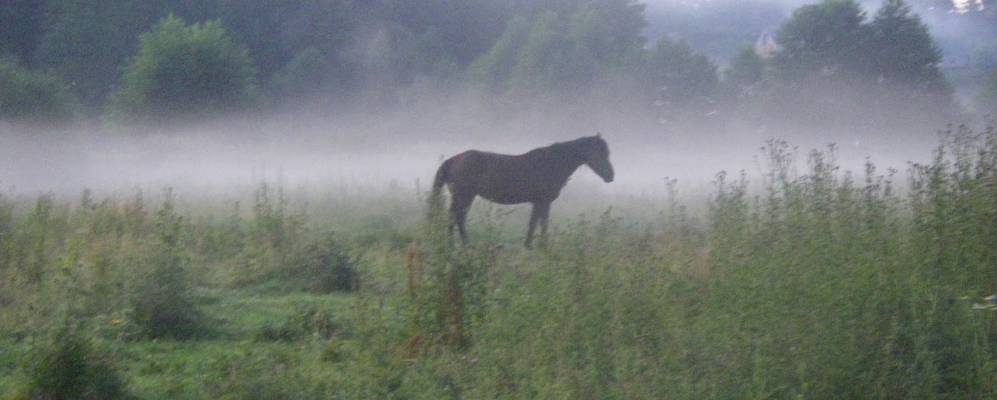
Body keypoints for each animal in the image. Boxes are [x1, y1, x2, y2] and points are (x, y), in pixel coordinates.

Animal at [430, 135, 612, 247]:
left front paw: (529, 245)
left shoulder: (538, 202)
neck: (551, 163)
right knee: (455, 217)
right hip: (464, 195)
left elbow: (533, 222)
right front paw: (543, 246)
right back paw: (457, 245)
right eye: (600, 153)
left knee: (458, 218)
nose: (611, 176)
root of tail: (454, 159)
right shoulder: (544, 202)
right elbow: (543, 223)